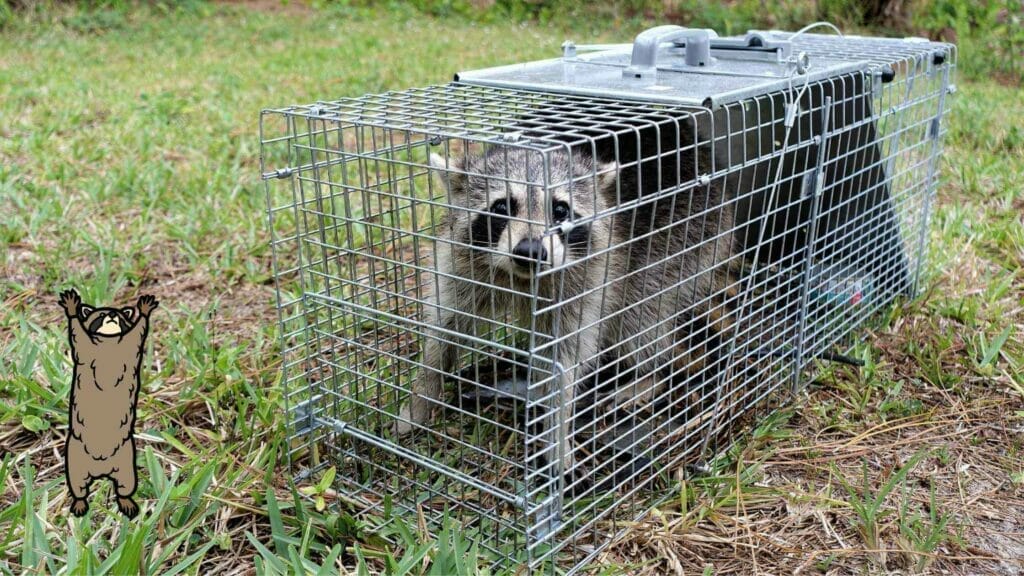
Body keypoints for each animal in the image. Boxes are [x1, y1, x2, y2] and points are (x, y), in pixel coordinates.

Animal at [397, 141, 737, 477]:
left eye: (560, 210)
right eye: (502, 207)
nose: (530, 251)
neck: (523, 280)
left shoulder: (588, 279)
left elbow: (565, 362)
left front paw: (557, 437)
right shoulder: (462, 265)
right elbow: (444, 328)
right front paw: (421, 397)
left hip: (684, 241)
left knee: (639, 319)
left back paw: (651, 374)